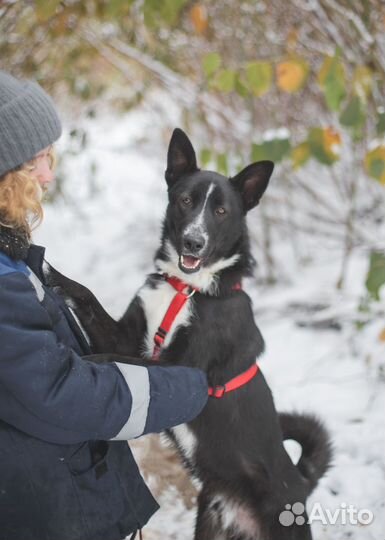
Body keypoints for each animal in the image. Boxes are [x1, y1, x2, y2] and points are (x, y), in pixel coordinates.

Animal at [48, 129, 330, 536]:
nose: (193, 242)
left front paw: (83, 363)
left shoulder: (182, 371)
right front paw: (39, 262)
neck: (187, 288)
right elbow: (85, 294)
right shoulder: (127, 337)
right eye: (185, 201)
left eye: (221, 211)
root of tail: (300, 484)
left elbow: (115, 360)